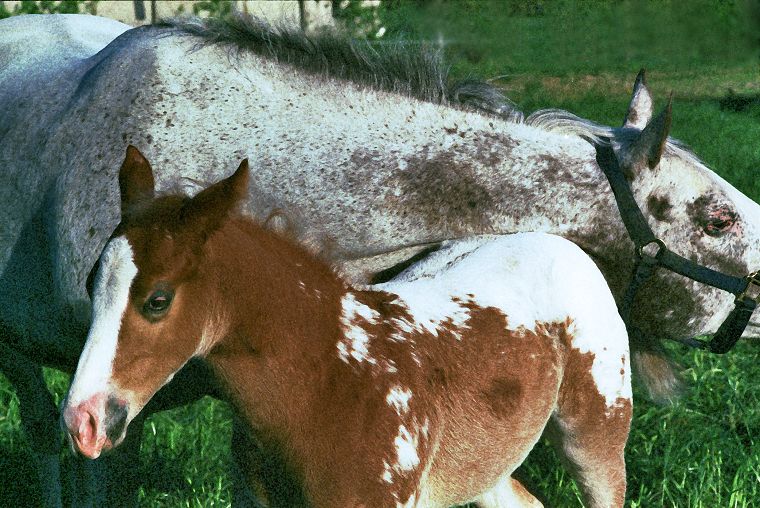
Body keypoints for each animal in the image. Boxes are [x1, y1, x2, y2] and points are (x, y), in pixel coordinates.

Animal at [60, 145, 628, 506]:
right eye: (91, 284)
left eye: (157, 300)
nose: (82, 422)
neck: (323, 385)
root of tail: (562, 244)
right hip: (483, 462)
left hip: (596, 435)